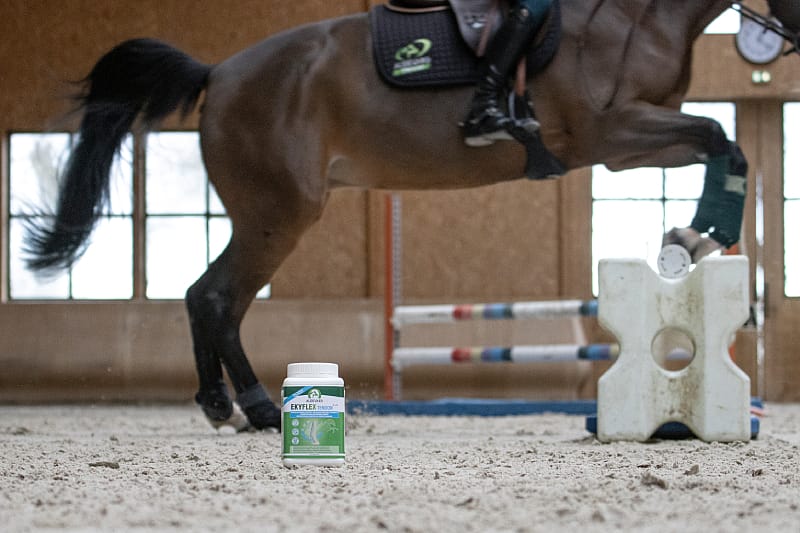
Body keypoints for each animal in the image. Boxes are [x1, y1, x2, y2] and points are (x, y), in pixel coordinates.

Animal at [23, 0, 784, 430]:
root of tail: (218, 72)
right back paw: (255, 407)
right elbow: (722, 136)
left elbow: (724, 142)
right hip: (278, 213)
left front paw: (693, 238)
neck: (635, 18)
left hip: (270, 214)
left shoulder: (629, 141)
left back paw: (226, 405)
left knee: (206, 296)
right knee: (214, 296)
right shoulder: (611, 133)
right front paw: (692, 236)